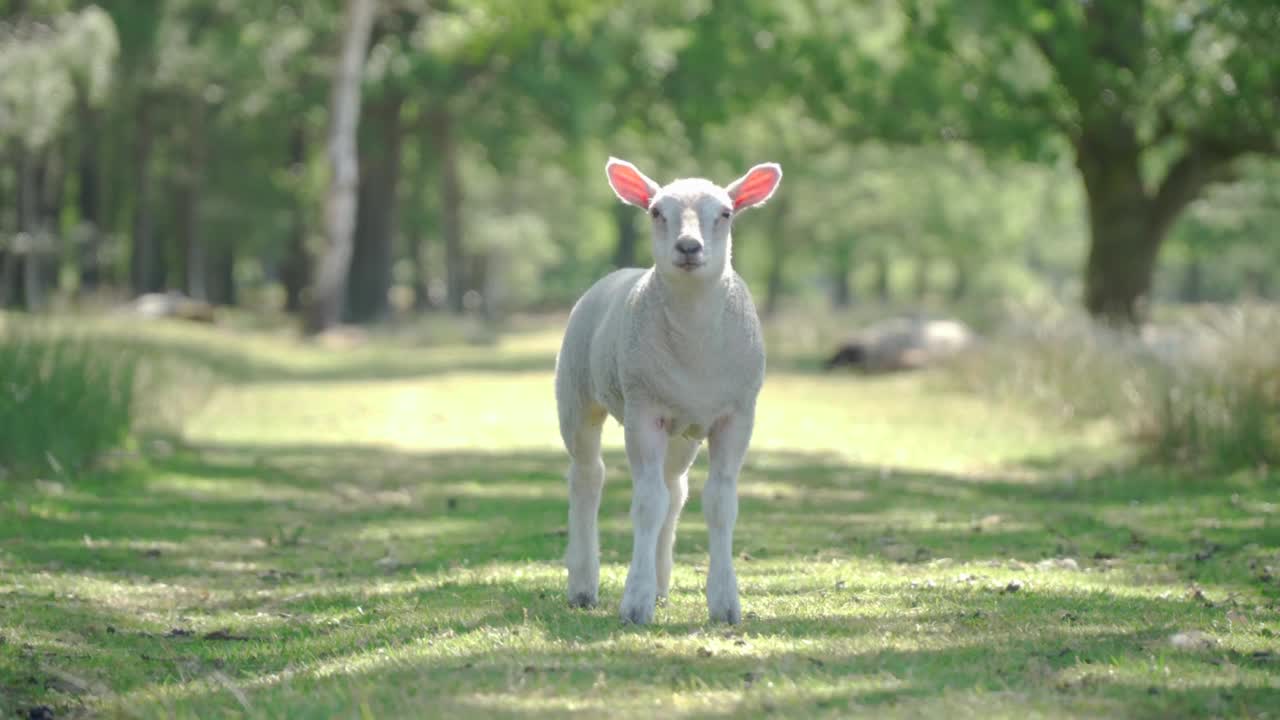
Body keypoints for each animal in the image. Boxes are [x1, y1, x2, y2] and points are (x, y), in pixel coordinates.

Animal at [558, 156, 783, 622]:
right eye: (656, 211)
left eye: (726, 213)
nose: (689, 247)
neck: (695, 347)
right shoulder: (644, 411)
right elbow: (647, 504)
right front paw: (636, 602)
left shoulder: (737, 415)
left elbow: (720, 504)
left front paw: (724, 602)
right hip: (576, 392)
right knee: (587, 477)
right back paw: (584, 585)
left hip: (685, 429)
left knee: (674, 489)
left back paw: (662, 583)